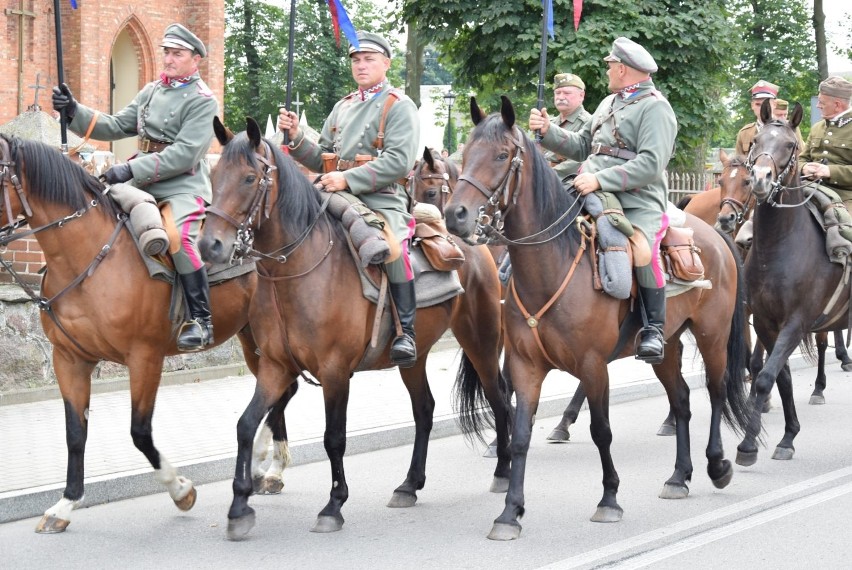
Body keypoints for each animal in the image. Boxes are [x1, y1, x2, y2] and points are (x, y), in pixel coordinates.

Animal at [0, 133, 264, 532]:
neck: (88, 257)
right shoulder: (70, 359)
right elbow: (75, 432)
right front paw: (65, 504)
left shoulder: (145, 358)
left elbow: (140, 432)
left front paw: (180, 489)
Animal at [196, 116, 510, 536]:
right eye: (214, 176)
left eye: (249, 178)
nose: (210, 246)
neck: (294, 271)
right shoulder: (275, 365)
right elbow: (246, 424)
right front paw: (240, 505)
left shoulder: (334, 371)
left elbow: (334, 438)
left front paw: (333, 504)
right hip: (414, 358)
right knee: (424, 409)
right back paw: (410, 484)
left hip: (482, 342)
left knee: (499, 397)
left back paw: (504, 470)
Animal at [442, 96, 748, 536]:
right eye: (466, 154)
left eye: (501, 155)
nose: (456, 215)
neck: (551, 265)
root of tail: (715, 235)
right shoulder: (524, 365)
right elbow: (520, 434)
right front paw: (510, 512)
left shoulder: (592, 365)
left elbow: (601, 431)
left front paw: (609, 499)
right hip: (667, 345)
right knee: (682, 400)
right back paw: (679, 476)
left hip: (712, 334)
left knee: (717, 390)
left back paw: (717, 464)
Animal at [736, 102, 848, 464]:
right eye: (756, 140)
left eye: (789, 144)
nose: (760, 178)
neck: (779, 246)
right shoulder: (766, 322)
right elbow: (778, 377)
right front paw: (787, 437)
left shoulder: (797, 322)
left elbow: (764, 377)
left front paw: (747, 445)